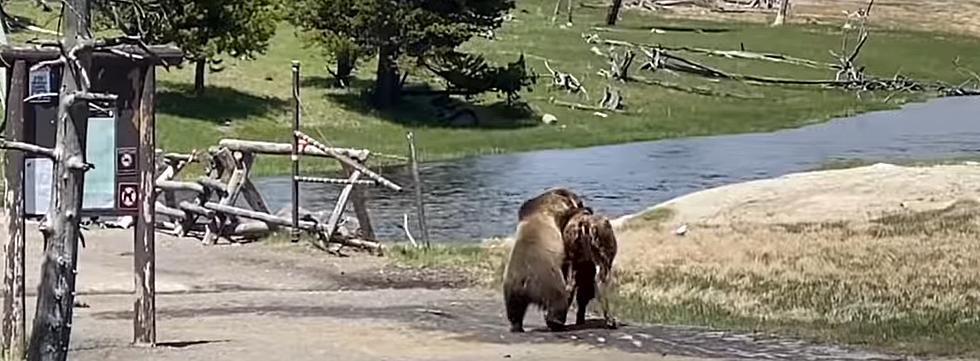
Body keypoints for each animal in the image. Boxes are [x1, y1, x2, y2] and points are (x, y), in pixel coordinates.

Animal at [502, 188, 584, 332]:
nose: (582, 202)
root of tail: (524, 282)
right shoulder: (555, 211)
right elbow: (566, 214)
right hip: (548, 281)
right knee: (558, 301)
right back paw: (557, 322)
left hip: (511, 287)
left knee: (514, 309)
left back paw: (516, 326)